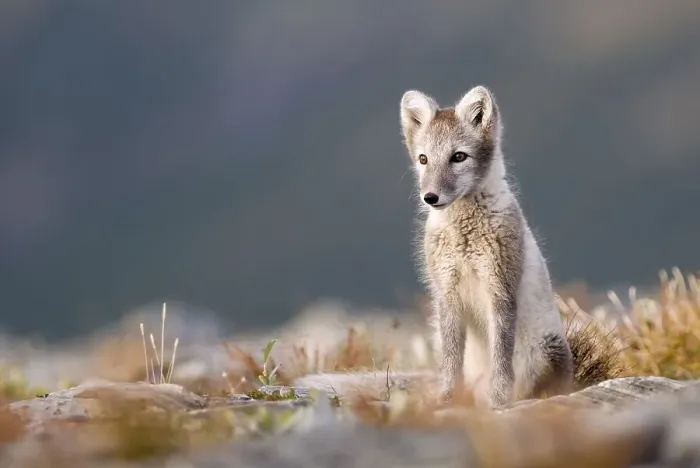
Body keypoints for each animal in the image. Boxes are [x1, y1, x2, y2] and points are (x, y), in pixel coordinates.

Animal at [399, 85, 574, 408]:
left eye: (458, 156)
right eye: (423, 159)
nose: (430, 197)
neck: (463, 236)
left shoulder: (500, 288)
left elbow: (501, 355)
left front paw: (500, 400)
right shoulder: (446, 293)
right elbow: (450, 359)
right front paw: (447, 399)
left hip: (549, 352)